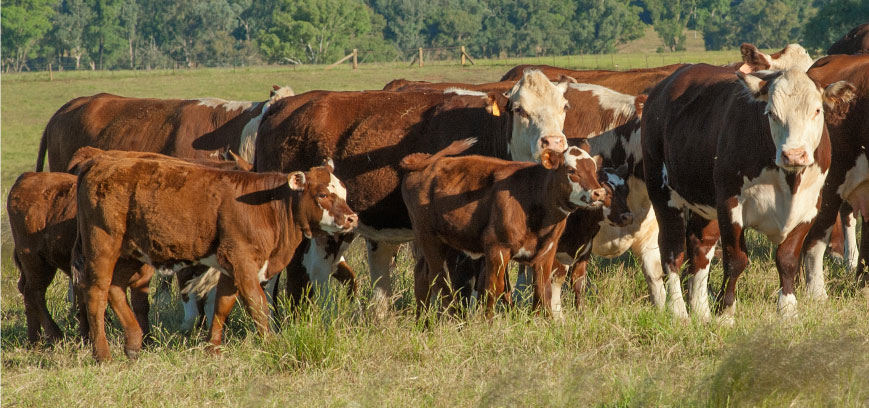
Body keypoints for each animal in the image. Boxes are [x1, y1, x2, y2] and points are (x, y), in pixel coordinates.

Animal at [72, 155, 356, 360]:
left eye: (343, 192)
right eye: (322, 194)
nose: (352, 218)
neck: (268, 207)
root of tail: (99, 162)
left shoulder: (231, 267)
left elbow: (222, 305)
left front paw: (213, 349)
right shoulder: (243, 262)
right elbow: (258, 305)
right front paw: (272, 344)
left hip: (131, 252)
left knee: (115, 288)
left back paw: (133, 343)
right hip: (103, 243)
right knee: (96, 292)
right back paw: (103, 354)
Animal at [640, 63, 852, 322]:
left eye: (817, 110)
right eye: (770, 113)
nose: (794, 155)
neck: (789, 181)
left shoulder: (809, 207)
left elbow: (788, 259)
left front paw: (788, 310)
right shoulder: (730, 205)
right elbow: (735, 261)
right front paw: (725, 312)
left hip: (706, 205)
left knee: (700, 249)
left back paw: (701, 311)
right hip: (661, 191)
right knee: (672, 251)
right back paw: (679, 311)